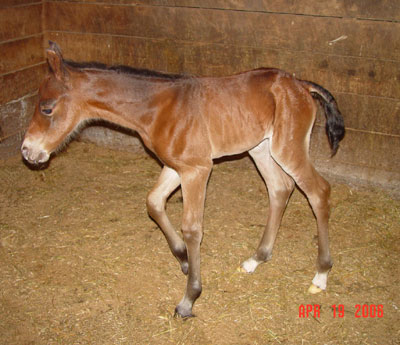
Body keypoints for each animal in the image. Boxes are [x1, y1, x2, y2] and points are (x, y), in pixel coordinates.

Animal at [21, 41, 344, 316]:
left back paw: (321, 274)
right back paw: (256, 259)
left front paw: (189, 298)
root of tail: (301, 84)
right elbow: (153, 202)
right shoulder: (175, 166)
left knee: (318, 192)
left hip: (287, 147)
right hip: (261, 148)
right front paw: (183, 259)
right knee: (280, 188)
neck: (158, 108)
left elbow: (192, 229)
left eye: (47, 108)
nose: (27, 151)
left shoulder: (197, 170)